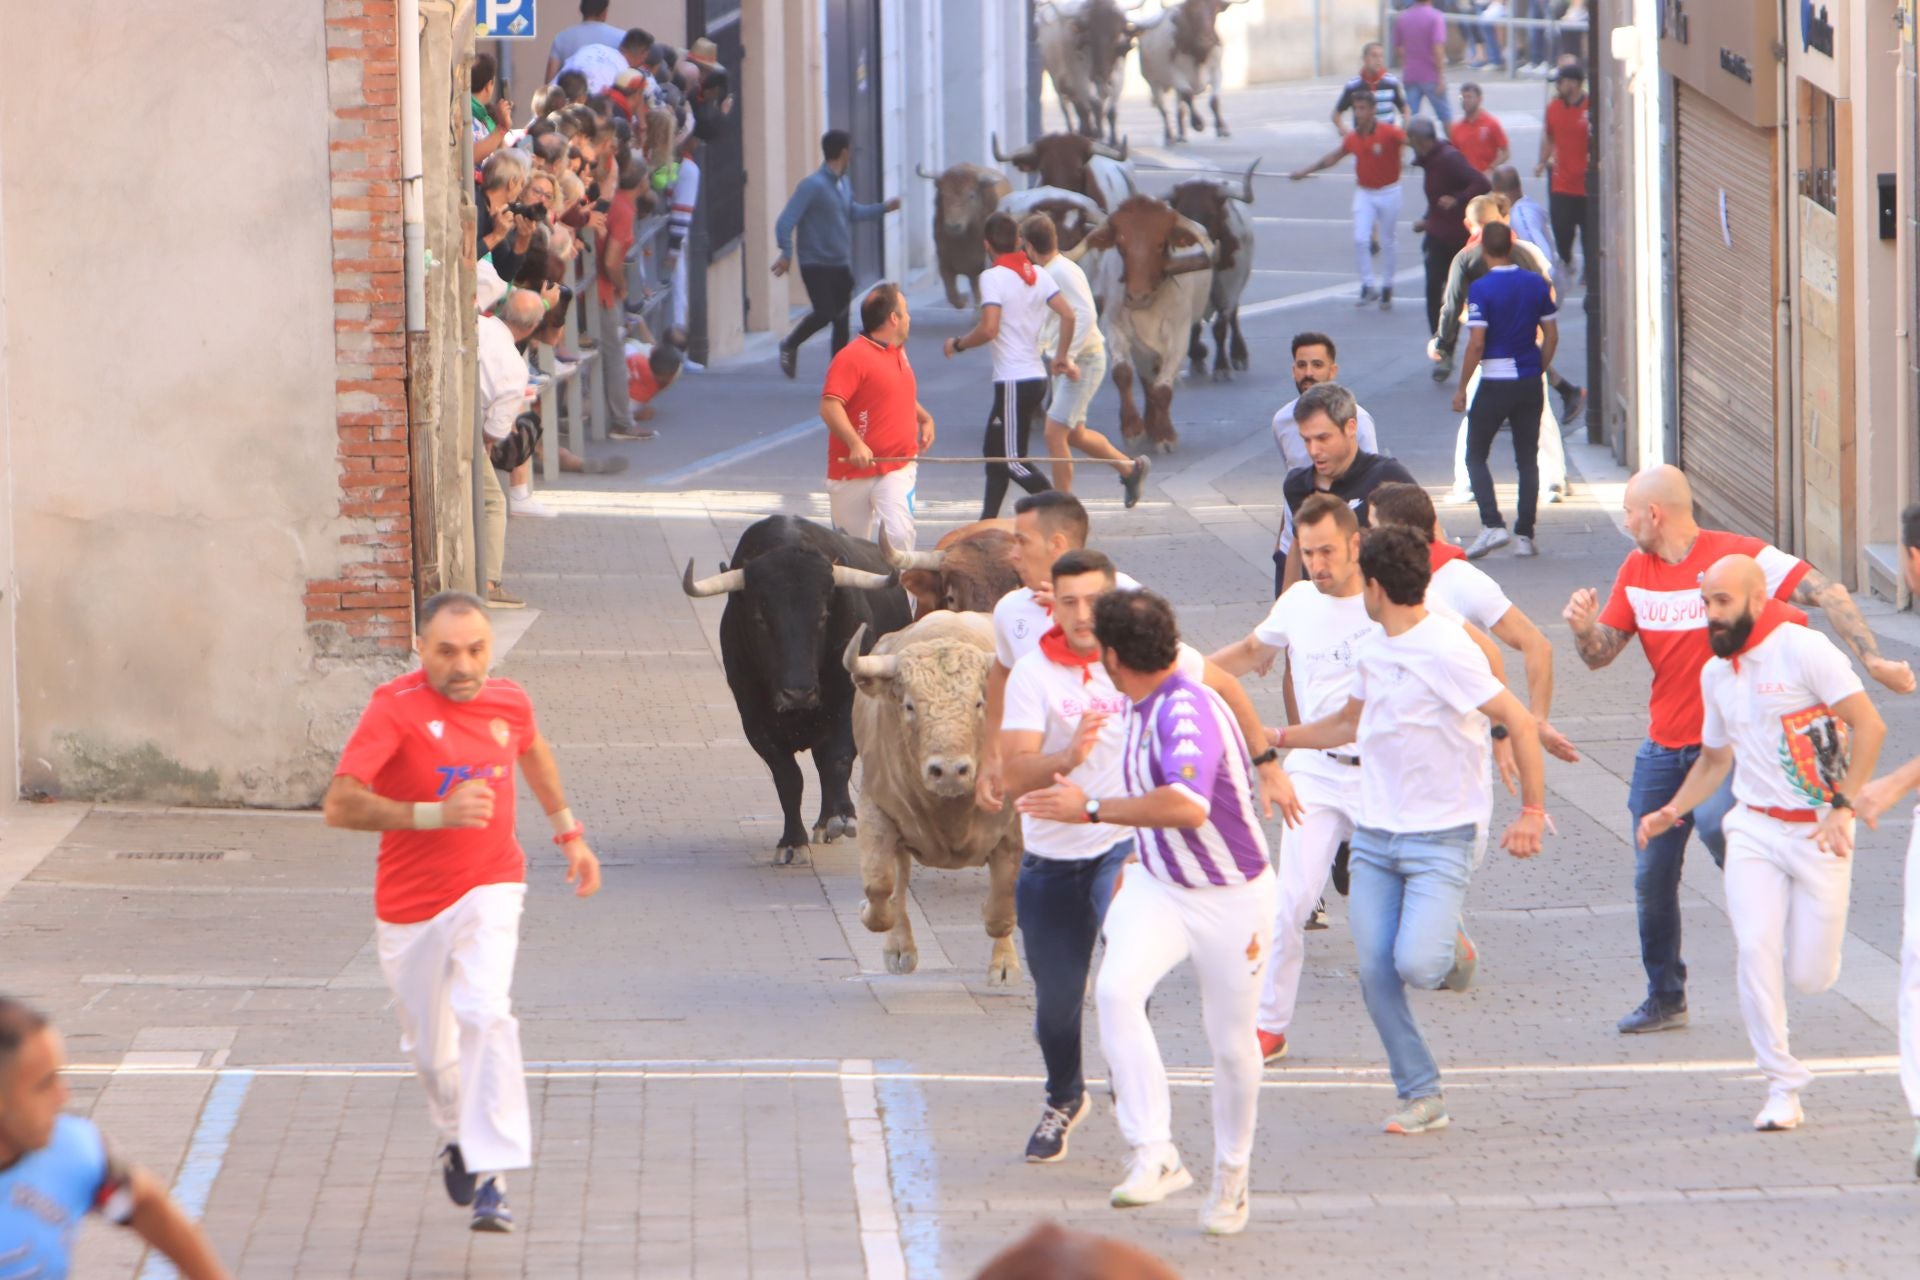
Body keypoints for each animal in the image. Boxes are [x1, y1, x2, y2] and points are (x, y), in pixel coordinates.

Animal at [679, 514, 910, 867]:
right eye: (760, 619)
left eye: (823, 615)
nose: (797, 693)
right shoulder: (754, 719)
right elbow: (788, 778)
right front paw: (791, 842)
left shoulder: (846, 702)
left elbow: (837, 759)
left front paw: (842, 817)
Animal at [840, 610, 1021, 982]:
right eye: (909, 705)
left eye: (979, 702)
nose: (950, 771)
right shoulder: (875, 808)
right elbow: (880, 886)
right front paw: (875, 918)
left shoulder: (1014, 827)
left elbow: (1002, 907)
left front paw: (1004, 962)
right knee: (899, 877)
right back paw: (900, 947)